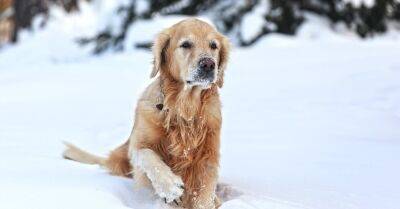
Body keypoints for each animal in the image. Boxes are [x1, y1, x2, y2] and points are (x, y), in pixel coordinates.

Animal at [63, 18, 231, 209]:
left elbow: (204, 191)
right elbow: (147, 155)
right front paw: (170, 186)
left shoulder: (208, 155)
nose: (209, 64)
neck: (185, 108)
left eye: (213, 45)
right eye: (186, 44)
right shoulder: (138, 144)